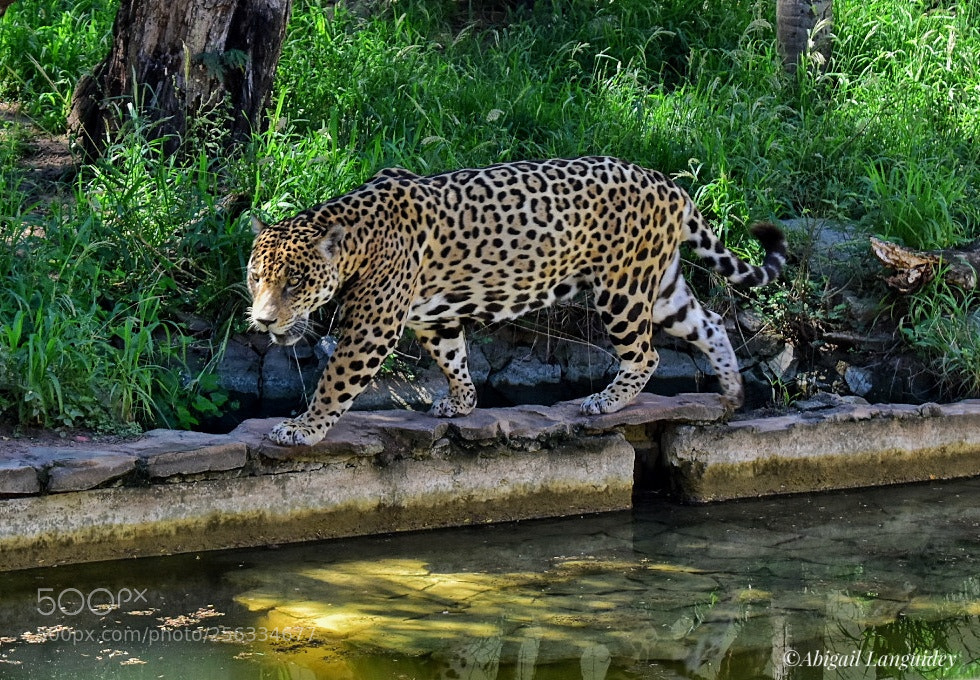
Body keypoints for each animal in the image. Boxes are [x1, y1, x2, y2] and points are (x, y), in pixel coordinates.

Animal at [247, 156, 786, 446]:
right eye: (256, 278)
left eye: (295, 282)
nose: (264, 321)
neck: (356, 238)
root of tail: (669, 184)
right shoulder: (433, 316)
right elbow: (454, 357)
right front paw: (462, 403)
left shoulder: (372, 329)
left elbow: (334, 383)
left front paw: (302, 428)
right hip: (659, 285)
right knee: (710, 321)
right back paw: (732, 391)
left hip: (622, 288)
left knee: (646, 354)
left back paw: (606, 401)